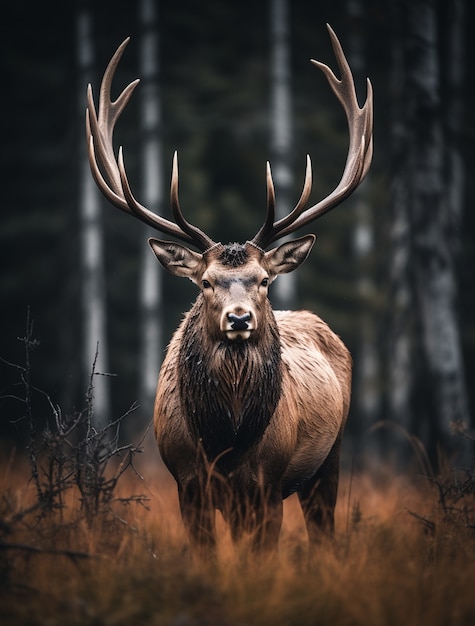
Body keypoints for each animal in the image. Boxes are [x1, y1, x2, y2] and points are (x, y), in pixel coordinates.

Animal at [87, 24, 374, 552]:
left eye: (263, 280)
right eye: (205, 281)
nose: (239, 317)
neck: (225, 442)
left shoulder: (266, 485)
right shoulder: (188, 484)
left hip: (331, 456)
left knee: (325, 532)